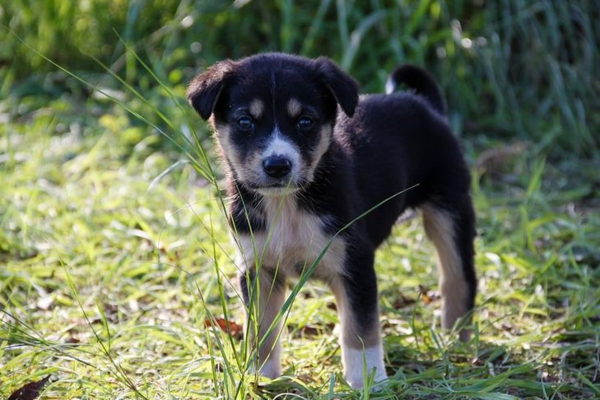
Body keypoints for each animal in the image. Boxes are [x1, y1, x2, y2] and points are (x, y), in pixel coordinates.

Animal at [188, 52, 478, 388]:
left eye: (305, 122)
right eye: (245, 122)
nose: (277, 166)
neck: (288, 205)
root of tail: (424, 105)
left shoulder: (355, 264)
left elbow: (361, 330)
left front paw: (368, 380)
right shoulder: (258, 268)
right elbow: (262, 330)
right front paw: (261, 377)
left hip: (450, 207)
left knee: (458, 276)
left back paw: (457, 340)